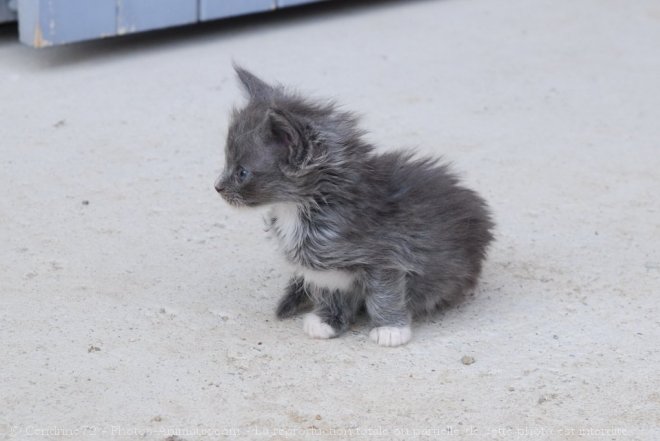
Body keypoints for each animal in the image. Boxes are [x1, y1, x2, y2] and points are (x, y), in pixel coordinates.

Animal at [214, 67, 492, 346]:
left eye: (242, 172)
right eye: (227, 164)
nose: (217, 187)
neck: (296, 209)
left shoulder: (387, 257)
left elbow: (384, 294)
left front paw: (391, 328)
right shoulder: (325, 267)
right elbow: (330, 290)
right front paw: (327, 320)